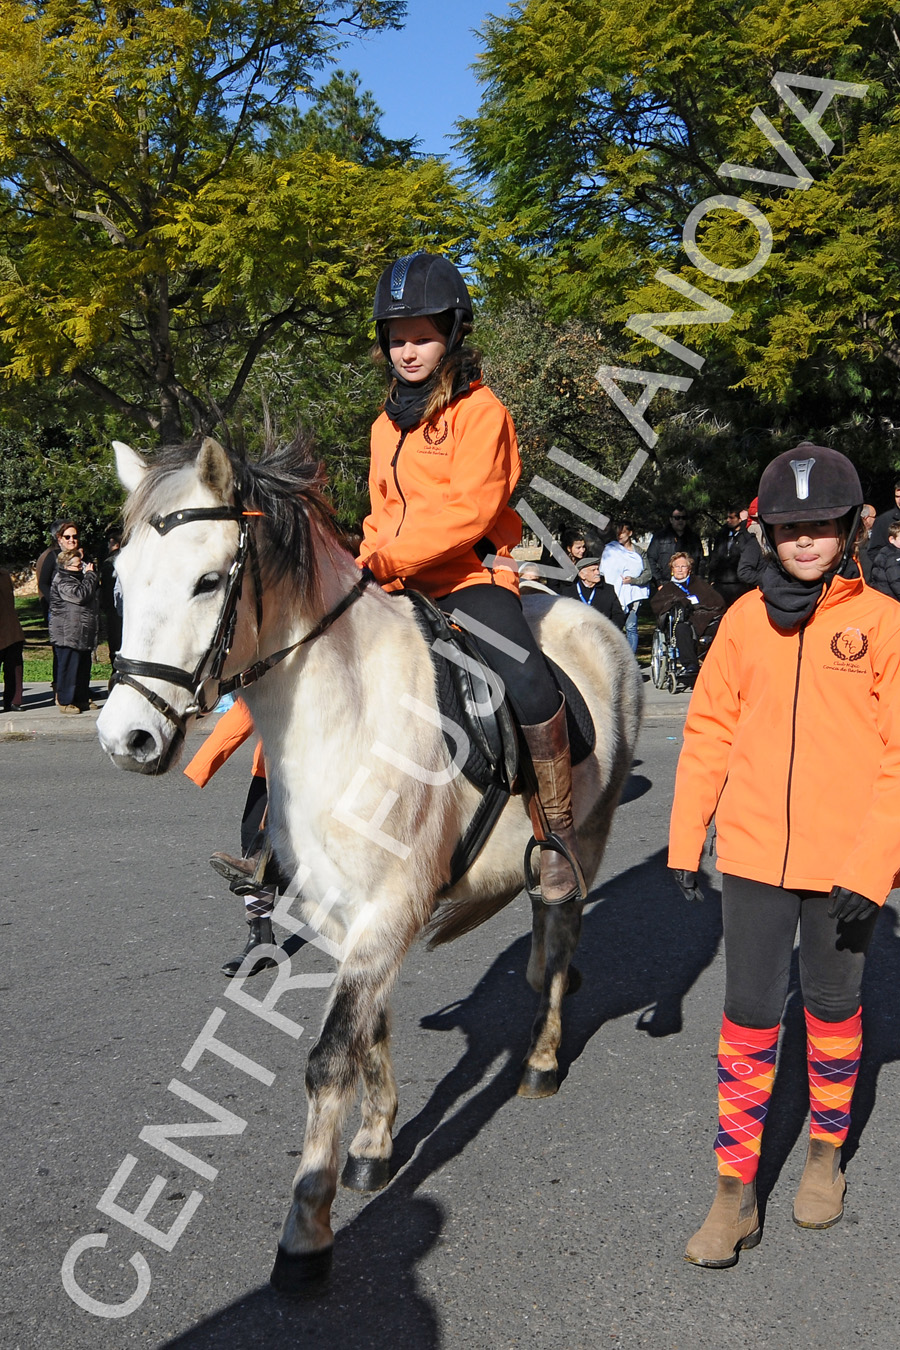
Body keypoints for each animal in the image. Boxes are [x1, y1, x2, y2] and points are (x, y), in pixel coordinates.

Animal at [98, 437, 644, 1290]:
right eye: (119, 580)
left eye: (208, 581)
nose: (126, 737)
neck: (344, 717)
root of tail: (593, 615)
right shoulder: (340, 916)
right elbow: (369, 1033)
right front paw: (373, 1143)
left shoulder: (390, 907)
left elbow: (329, 1060)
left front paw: (307, 1227)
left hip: (587, 831)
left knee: (558, 935)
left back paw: (544, 1057)